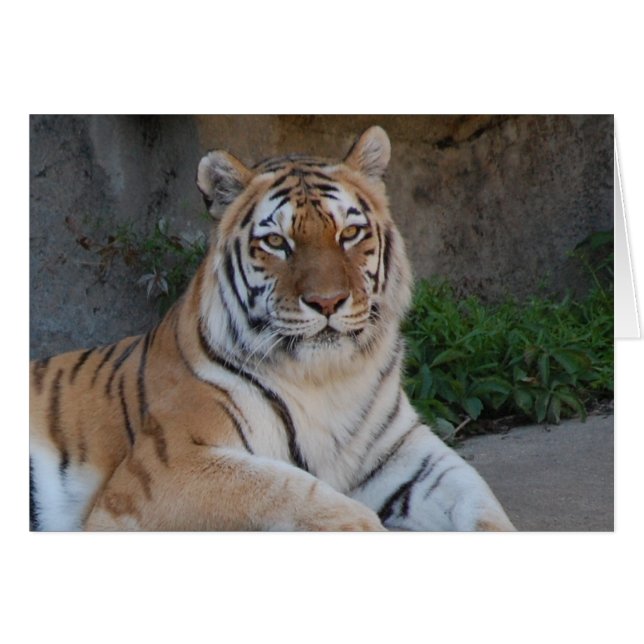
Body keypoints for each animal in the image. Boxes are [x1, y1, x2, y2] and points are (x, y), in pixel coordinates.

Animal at [29, 126, 516, 531]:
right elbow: (298, 492)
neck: (328, 379)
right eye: (277, 242)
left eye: (349, 234)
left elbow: (480, 500)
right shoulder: (167, 466)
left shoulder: (406, 454)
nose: (327, 302)